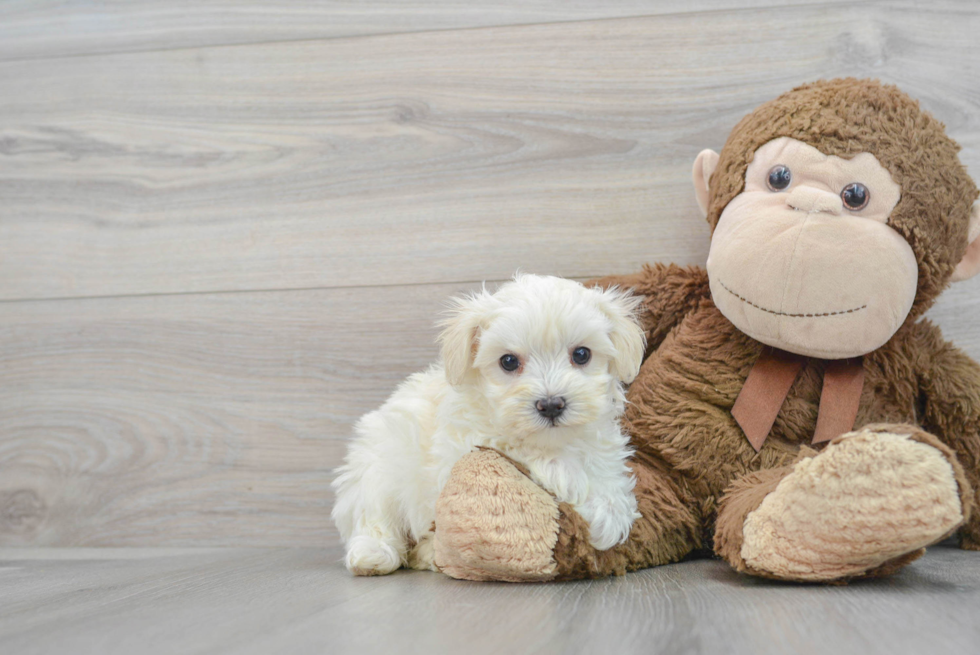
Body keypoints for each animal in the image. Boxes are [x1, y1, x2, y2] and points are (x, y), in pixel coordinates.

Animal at [334, 274, 648, 576]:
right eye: (508, 361)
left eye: (582, 354)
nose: (550, 405)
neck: (553, 440)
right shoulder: (469, 440)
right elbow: (537, 457)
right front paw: (592, 504)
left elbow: (605, 468)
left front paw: (611, 507)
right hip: (378, 465)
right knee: (372, 516)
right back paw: (373, 554)